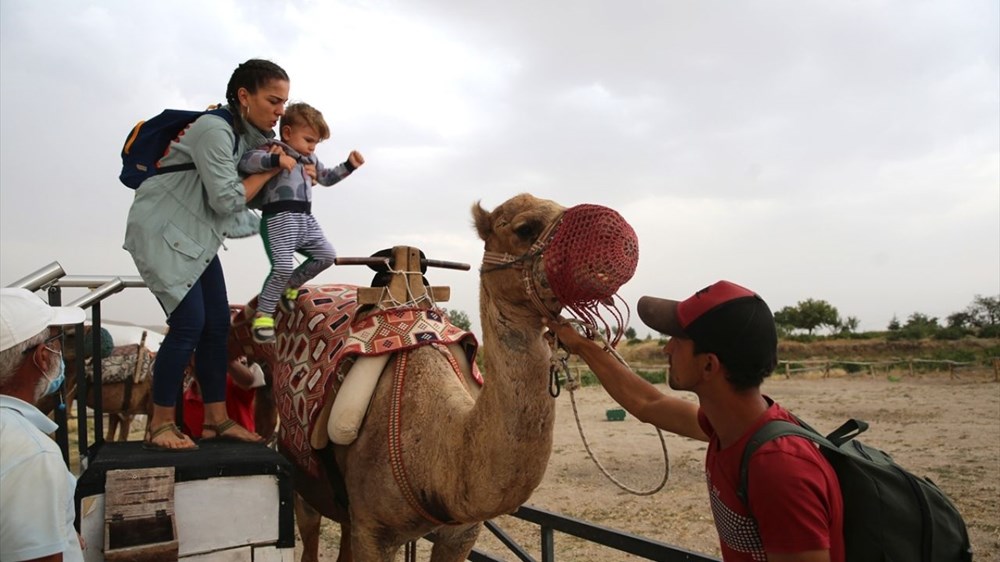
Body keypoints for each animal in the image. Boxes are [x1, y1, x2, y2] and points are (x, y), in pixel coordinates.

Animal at [229, 193, 638, 561]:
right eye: (525, 228)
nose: (614, 236)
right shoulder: (374, 531)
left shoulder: (461, 532)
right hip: (304, 483)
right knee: (310, 534)